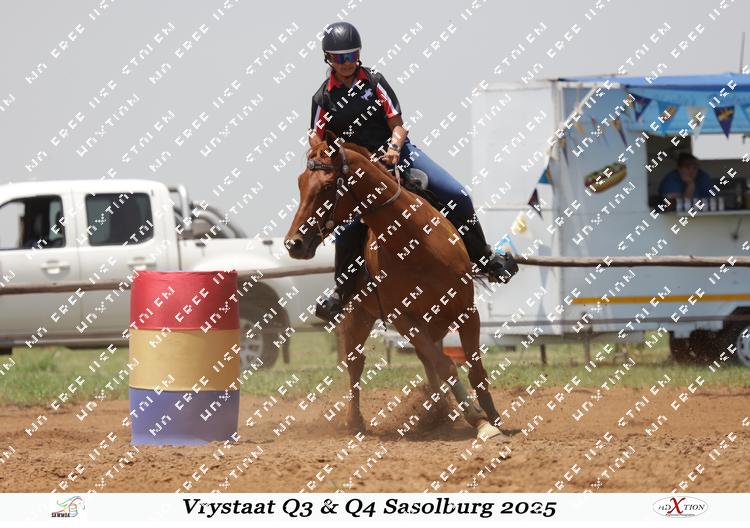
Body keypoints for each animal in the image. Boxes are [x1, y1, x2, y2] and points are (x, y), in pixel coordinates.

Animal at [285, 131, 505, 440]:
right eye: (300, 183)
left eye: (327, 186)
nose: (294, 243)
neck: (415, 241)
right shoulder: (403, 319)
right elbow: (446, 365)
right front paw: (477, 419)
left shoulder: (467, 310)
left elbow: (474, 368)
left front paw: (492, 416)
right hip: (358, 317)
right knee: (356, 364)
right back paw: (356, 421)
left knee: (425, 359)